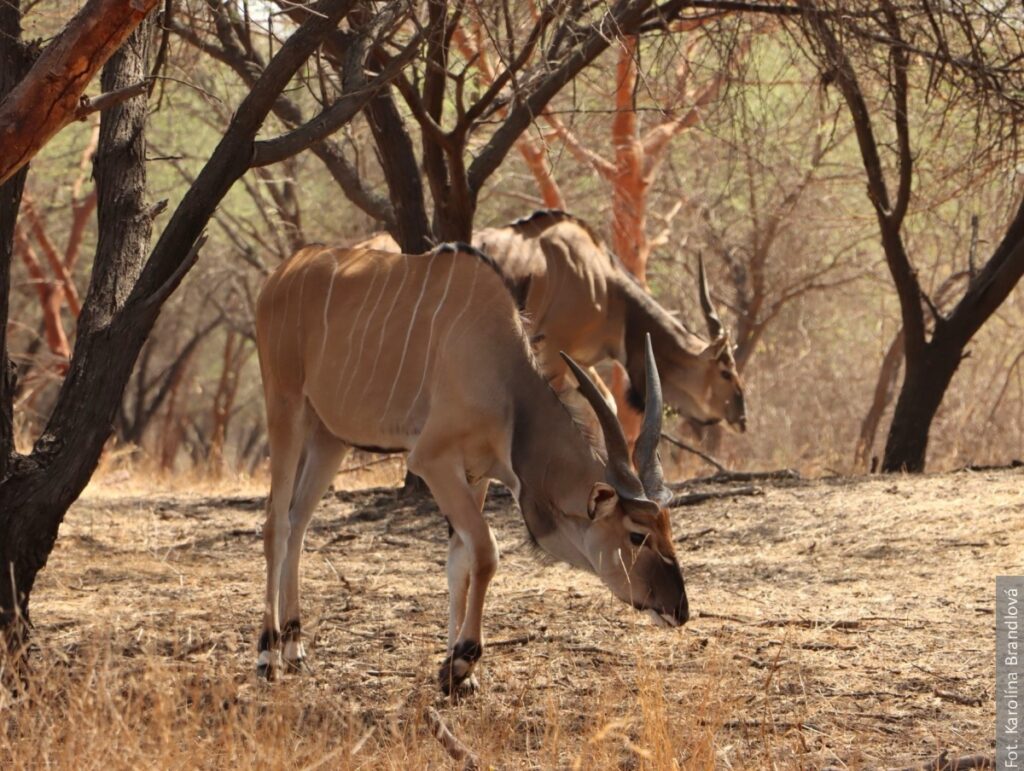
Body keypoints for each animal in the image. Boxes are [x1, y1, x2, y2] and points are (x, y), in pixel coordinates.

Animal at [256, 240, 688, 692]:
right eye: (637, 535)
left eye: (667, 529)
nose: (680, 608)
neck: (503, 375)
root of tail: (282, 274)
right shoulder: (432, 460)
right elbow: (485, 552)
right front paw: (462, 662)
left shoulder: (474, 473)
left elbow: (459, 562)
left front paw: (456, 670)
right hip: (285, 406)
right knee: (277, 524)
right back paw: (268, 655)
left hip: (329, 437)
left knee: (299, 522)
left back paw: (295, 648)